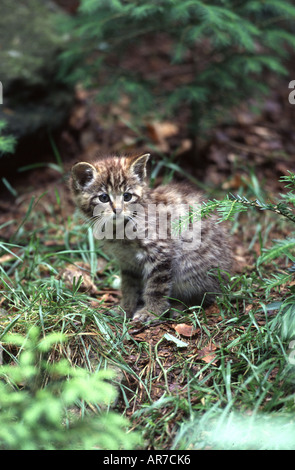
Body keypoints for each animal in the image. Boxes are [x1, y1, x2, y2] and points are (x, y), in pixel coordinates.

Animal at [70, 154, 232, 324]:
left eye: (127, 196)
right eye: (103, 198)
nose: (118, 210)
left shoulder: (160, 251)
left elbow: (156, 287)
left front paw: (151, 312)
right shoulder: (127, 262)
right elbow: (128, 286)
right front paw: (126, 308)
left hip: (190, 266)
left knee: (205, 296)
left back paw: (179, 307)